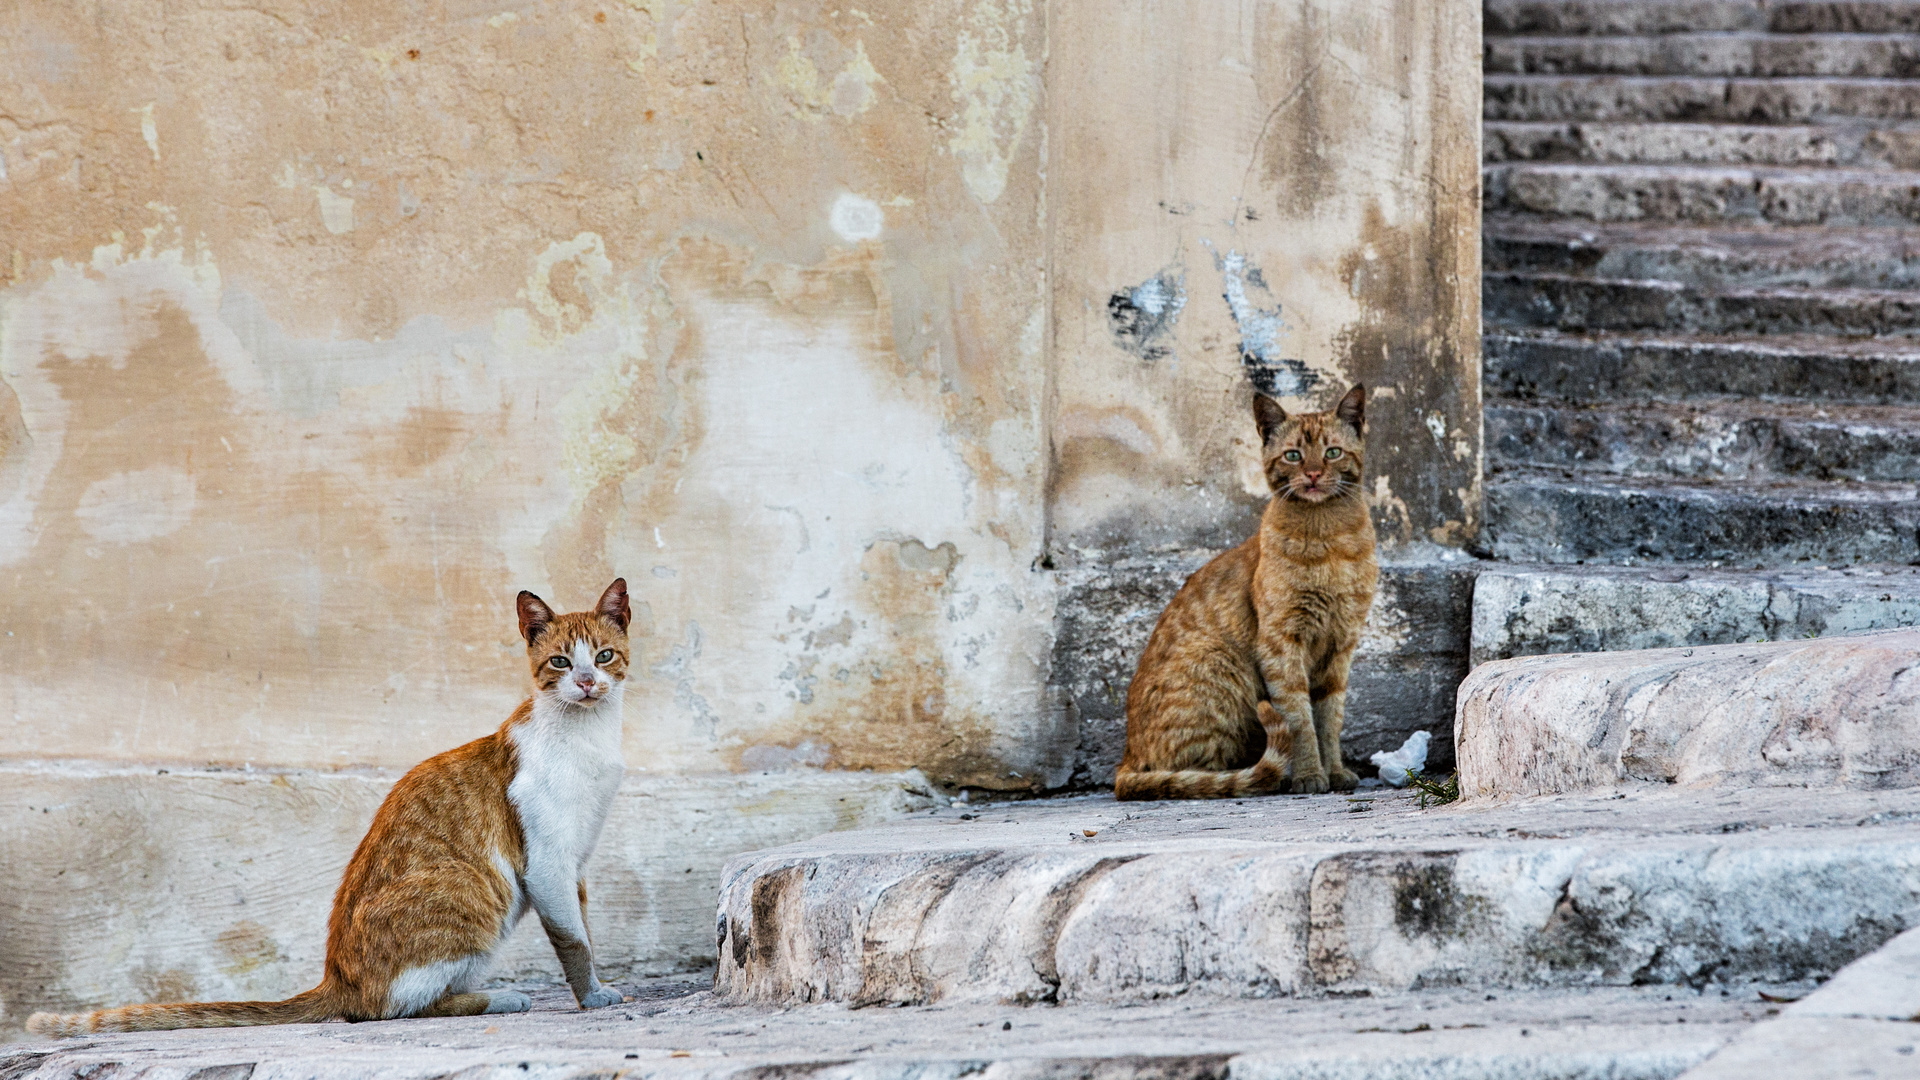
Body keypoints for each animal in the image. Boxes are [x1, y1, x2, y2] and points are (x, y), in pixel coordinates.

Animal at [28, 576, 637, 1030]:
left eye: (604, 656)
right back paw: (497, 998)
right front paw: (592, 997)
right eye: (560, 662)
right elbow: (574, 941)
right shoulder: (547, 863)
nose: (587, 683)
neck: (588, 736)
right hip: (474, 888)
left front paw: (597, 988)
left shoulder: (575, 865)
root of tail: (337, 979)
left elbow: (585, 929)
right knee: (388, 1009)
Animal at [1113, 386, 1382, 799]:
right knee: (1201, 774)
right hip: (1220, 661)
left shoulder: (1340, 648)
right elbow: (1300, 720)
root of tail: (1125, 759)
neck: (1331, 540)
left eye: (1333, 452)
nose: (1314, 473)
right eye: (1293, 455)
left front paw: (1335, 771)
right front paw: (1309, 775)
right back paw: (1271, 776)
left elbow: (1329, 720)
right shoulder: (1281, 645)